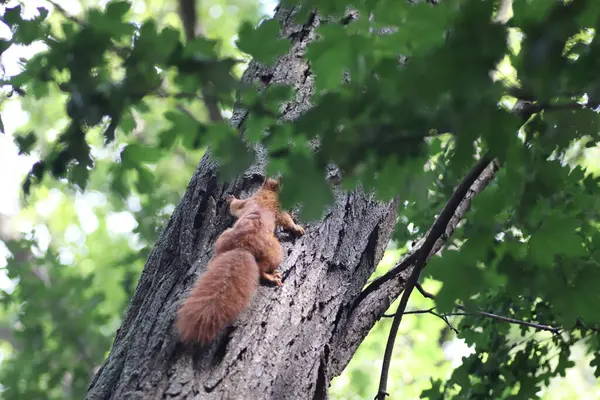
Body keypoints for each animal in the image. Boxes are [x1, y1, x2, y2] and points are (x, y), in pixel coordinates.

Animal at [173, 177, 304, 344]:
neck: (266, 193)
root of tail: (243, 247)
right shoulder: (277, 209)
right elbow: (286, 220)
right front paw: (297, 227)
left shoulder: (248, 202)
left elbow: (235, 208)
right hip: (275, 250)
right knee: (262, 268)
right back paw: (271, 276)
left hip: (223, 238)